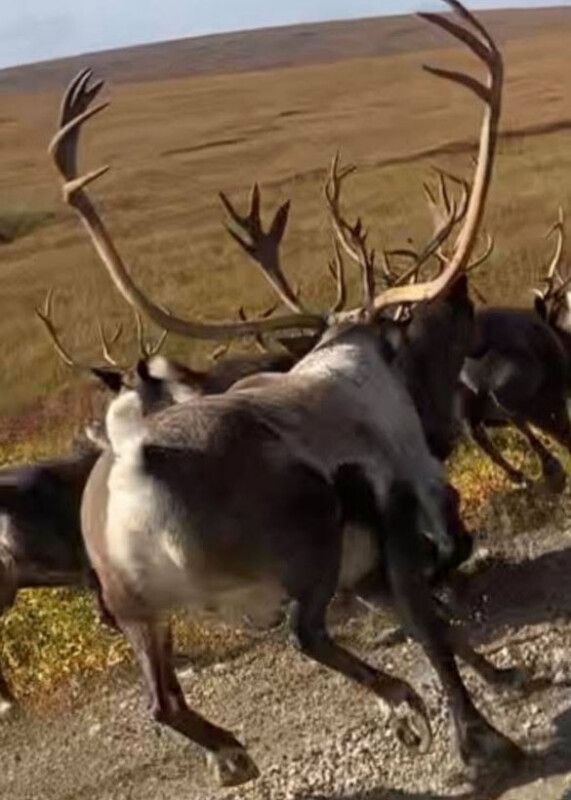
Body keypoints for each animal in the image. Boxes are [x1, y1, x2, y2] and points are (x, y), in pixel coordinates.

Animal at [48, 2, 531, 788]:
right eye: (437, 330)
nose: (463, 293)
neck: (359, 354)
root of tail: (132, 463)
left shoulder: (374, 561)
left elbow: (442, 628)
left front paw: (500, 681)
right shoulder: (401, 521)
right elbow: (430, 625)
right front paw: (479, 737)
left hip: (138, 611)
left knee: (164, 702)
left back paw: (233, 751)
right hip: (309, 540)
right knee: (304, 636)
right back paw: (399, 702)